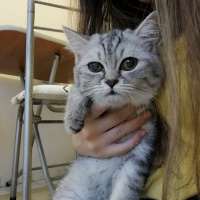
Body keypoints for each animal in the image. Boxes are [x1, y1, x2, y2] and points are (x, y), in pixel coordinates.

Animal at [53, 11, 164, 200]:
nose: (111, 81)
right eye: (95, 66)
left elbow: (125, 190)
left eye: (129, 63)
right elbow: (78, 87)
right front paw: (72, 116)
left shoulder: (139, 153)